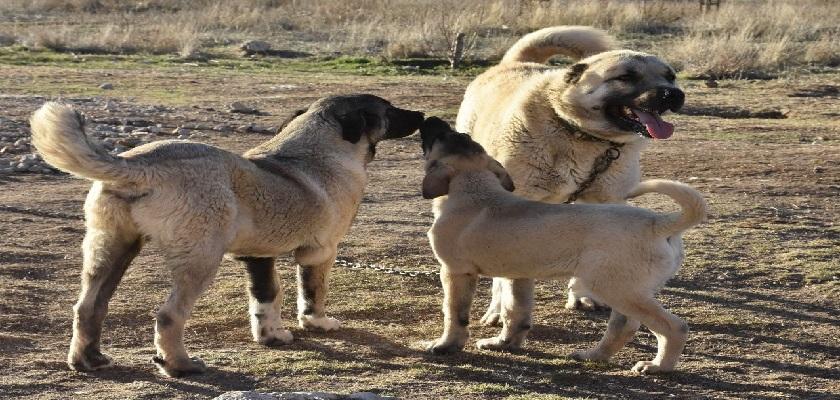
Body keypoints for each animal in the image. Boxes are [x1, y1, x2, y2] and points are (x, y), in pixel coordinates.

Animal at [29, 94, 424, 378]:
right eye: (389, 110)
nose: (421, 114)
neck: (322, 147)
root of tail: (140, 166)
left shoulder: (258, 256)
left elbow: (267, 297)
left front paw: (271, 336)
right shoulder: (320, 252)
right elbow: (312, 293)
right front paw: (317, 323)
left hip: (112, 248)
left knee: (89, 306)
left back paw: (88, 360)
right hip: (201, 259)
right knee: (169, 316)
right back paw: (180, 366)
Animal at [418, 117, 704, 374]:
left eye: (438, 137)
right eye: (460, 136)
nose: (429, 119)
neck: (476, 189)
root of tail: (659, 223)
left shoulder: (455, 271)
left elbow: (454, 312)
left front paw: (445, 345)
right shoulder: (518, 275)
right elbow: (515, 313)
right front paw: (504, 344)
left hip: (615, 288)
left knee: (673, 327)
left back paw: (658, 367)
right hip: (626, 289)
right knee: (624, 326)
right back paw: (593, 356)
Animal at [460, 25, 688, 322]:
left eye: (670, 76)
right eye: (625, 77)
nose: (674, 94)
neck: (582, 136)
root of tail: (513, 63)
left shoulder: (602, 203)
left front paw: (581, 296)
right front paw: (499, 309)